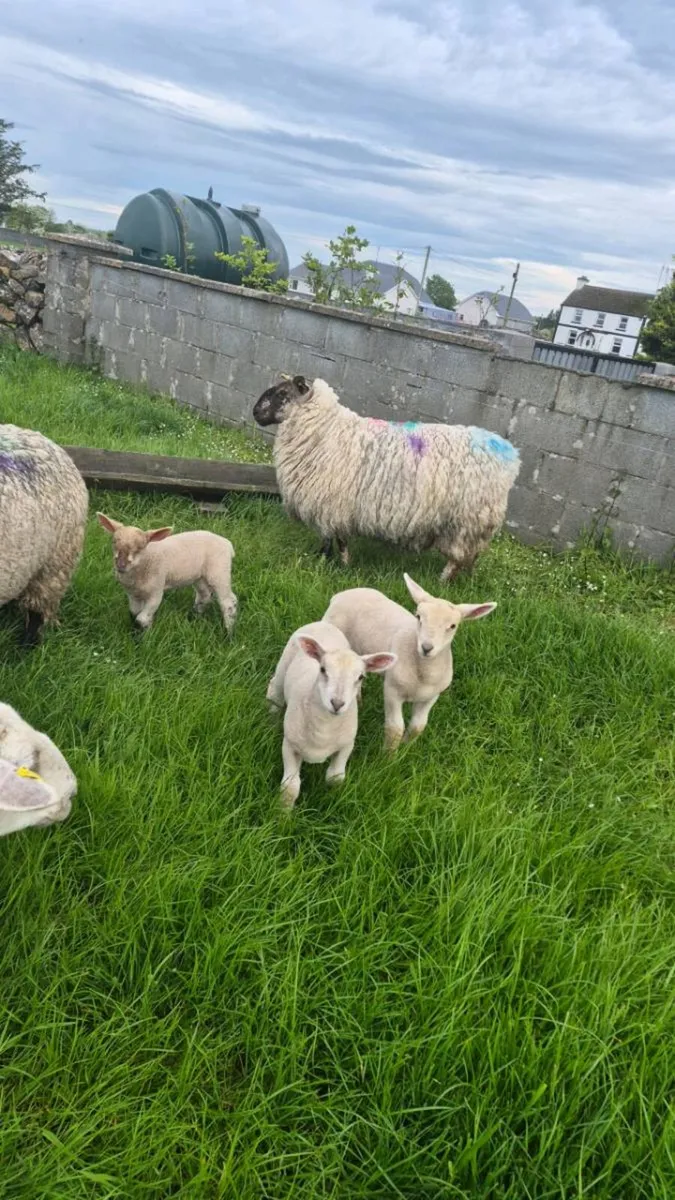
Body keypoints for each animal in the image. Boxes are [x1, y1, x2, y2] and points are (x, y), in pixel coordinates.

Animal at [96, 514, 237, 632]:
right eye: (114, 541)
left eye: (141, 547)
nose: (121, 565)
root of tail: (228, 544)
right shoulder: (132, 594)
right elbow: (134, 614)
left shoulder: (156, 592)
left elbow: (141, 619)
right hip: (199, 576)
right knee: (205, 596)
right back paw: (194, 617)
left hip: (219, 571)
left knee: (228, 602)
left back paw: (228, 633)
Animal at [252, 375, 520, 582]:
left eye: (282, 394)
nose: (255, 412)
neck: (325, 429)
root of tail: (510, 456)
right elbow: (332, 538)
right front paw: (327, 559)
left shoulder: (332, 504)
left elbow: (335, 539)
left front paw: (334, 564)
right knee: (470, 557)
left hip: (466, 522)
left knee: (458, 558)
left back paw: (442, 582)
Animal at [266, 620, 396, 809]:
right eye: (322, 669)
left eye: (361, 677)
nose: (337, 704)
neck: (324, 727)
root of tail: (323, 623)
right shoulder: (290, 745)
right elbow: (290, 787)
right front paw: (282, 814)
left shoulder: (346, 745)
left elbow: (335, 778)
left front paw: (332, 801)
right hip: (284, 664)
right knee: (275, 690)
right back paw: (272, 717)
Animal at [324, 574, 496, 753]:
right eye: (418, 617)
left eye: (453, 626)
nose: (426, 647)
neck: (423, 674)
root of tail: (342, 594)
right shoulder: (392, 691)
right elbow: (395, 728)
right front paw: (389, 755)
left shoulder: (431, 697)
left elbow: (418, 726)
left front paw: (406, 748)